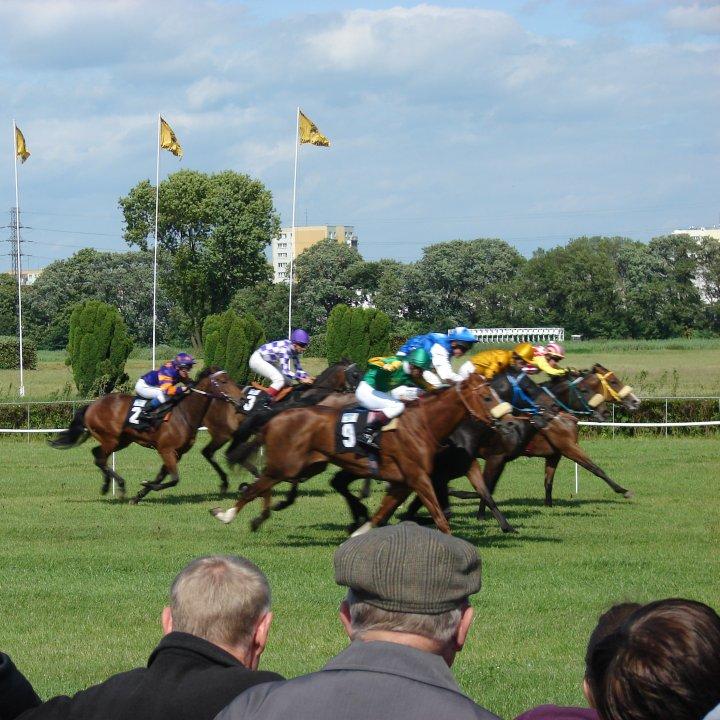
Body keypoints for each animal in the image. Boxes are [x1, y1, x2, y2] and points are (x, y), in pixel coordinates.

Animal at [48, 368, 239, 504]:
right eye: (223, 381)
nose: (241, 398)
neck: (185, 413)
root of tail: (92, 405)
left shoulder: (176, 452)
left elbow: (163, 476)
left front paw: (139, 494)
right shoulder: (166, 449)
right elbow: (174, 479)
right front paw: (145, 485)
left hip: (121, 440)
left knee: (97, 455)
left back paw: (107, 486)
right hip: (111, 439)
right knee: (100, 458)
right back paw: (119, 486)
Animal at [211, 372, 520, 536]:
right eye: (487, 397)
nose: (508, 423)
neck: (423, 424)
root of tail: (277, 414)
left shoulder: (403, 481)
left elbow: (383, 512)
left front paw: (359, 530)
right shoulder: (419, 477)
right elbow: (439, 515)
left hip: (308, 465)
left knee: (265, 484)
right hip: (286, 465)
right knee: (256, 486)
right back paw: (226, 514)